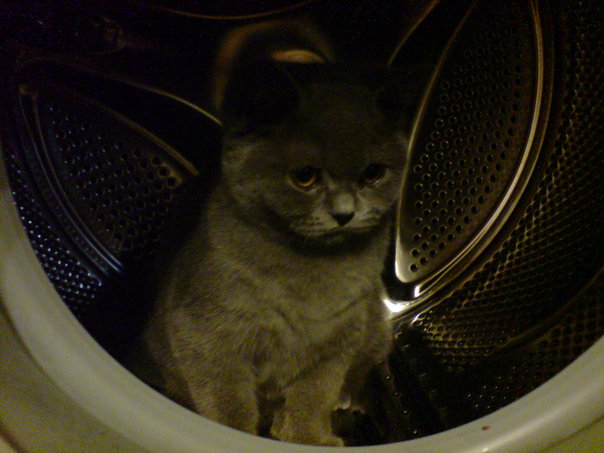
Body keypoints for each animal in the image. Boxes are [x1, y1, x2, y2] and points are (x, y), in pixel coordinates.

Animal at [141, 52, 413, 446]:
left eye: (373, 174)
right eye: (305, 176)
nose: (344, 213)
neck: (312, 270)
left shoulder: (339, 340)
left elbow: (314, 396)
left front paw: (309, 438)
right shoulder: (208, 335)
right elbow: (228, 399)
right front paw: (235, 435)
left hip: (377, 330)